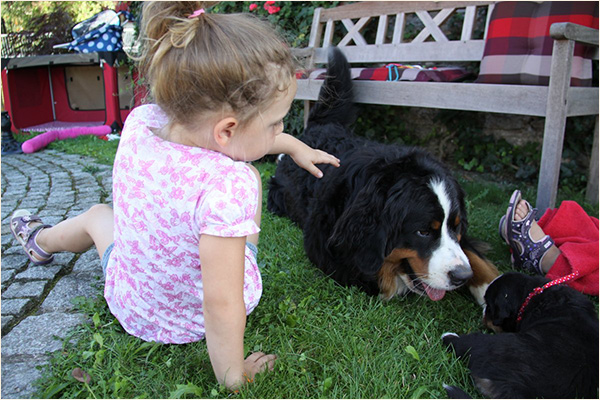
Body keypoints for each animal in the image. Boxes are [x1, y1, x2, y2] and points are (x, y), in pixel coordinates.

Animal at [267, 47, 498, 304]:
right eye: (423, 232)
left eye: (455, 226)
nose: (462, 276)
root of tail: (320, 128)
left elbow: (474, 256)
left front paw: (493, 288)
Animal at [442, 272, 599, 398]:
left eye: (489, 305)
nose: (483, 312)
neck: (533, 296)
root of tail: (520, 389)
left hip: (498, 345)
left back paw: (448, 336)